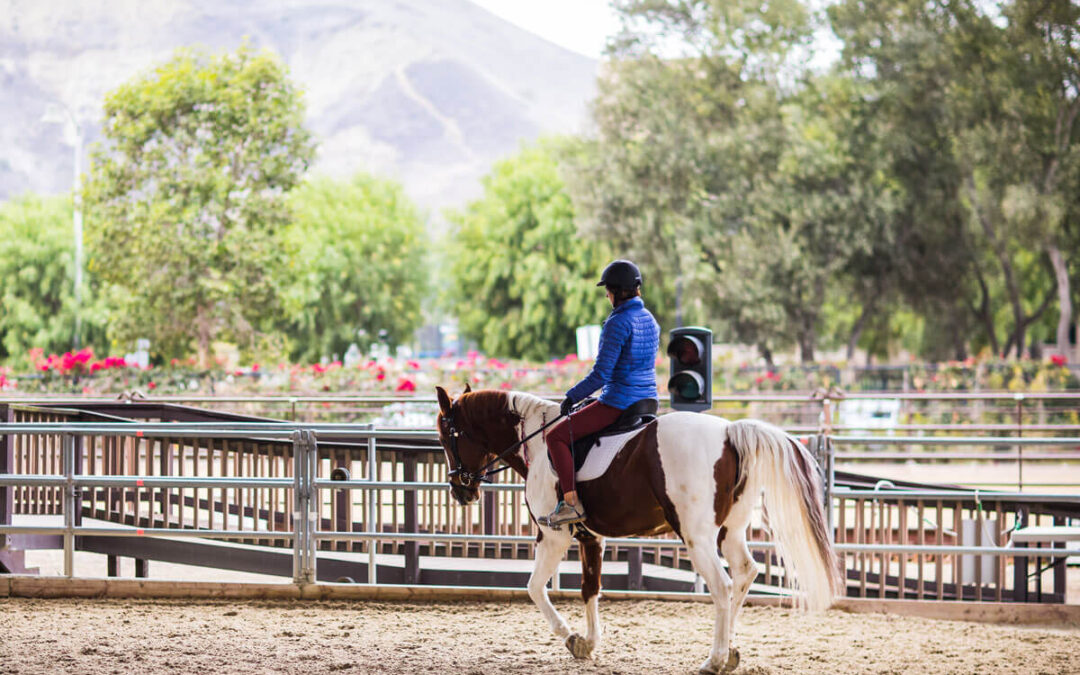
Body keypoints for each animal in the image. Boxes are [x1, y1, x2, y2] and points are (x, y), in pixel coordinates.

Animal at [435, 385, 840, 674]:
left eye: (446, 436)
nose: (460, 489)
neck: (534, 439)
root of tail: (729, 431)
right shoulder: (590, 537)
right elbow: (590, 589)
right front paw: (588, 643)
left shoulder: (553, 536)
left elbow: (534, 588)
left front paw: (570, 638)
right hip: (731, 531)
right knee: (745, 573)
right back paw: (730, 651)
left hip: (697, 537)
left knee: (723, 586)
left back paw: (714, 660)